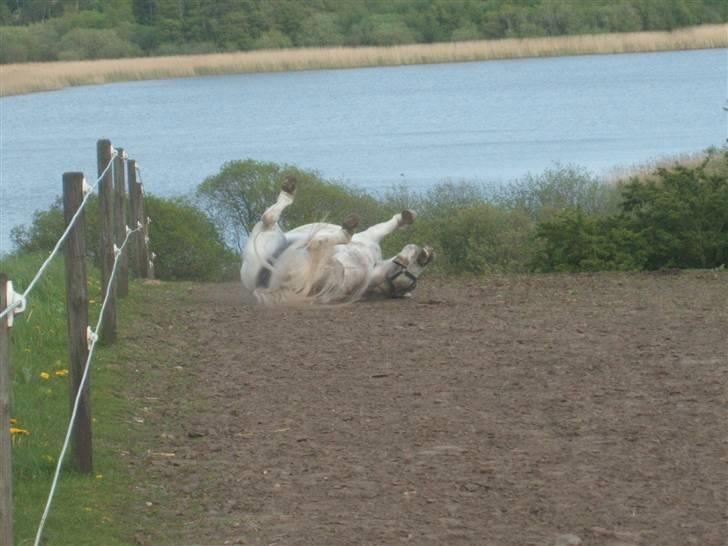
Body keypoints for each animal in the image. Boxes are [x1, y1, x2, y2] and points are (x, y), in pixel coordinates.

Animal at [242, 175, 432, 304]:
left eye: (411, 285)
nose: (428, 255)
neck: (373, 264)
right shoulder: (370, 236)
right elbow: (385, 226)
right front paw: (407, 216)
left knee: (282, 227)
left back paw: (346, 229)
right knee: (270, 218)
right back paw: (289, 187)